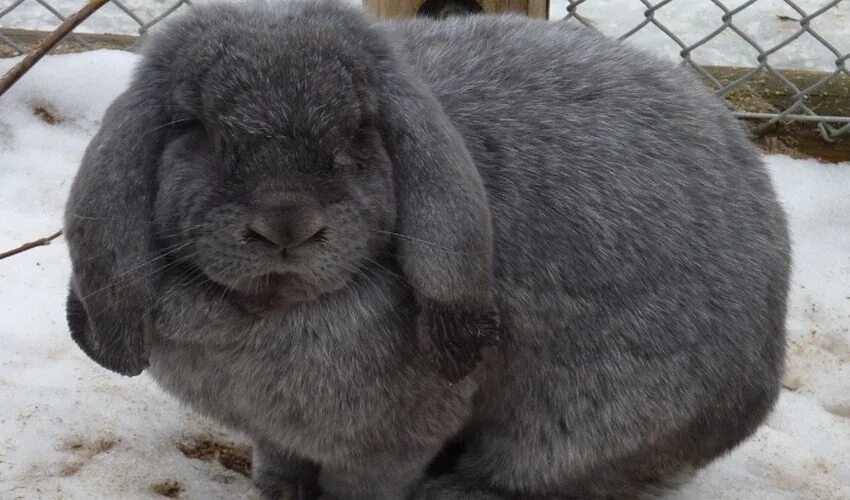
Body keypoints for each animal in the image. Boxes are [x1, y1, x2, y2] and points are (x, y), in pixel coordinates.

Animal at [64, 1, 788, 498]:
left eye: (361, 128)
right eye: (192, 127)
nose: (286, 225)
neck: (267, 314)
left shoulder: (390, 441)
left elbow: (366, 484)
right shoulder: (275, 433)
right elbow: (280, 459)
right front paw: (279, 490)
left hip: (579, 427)